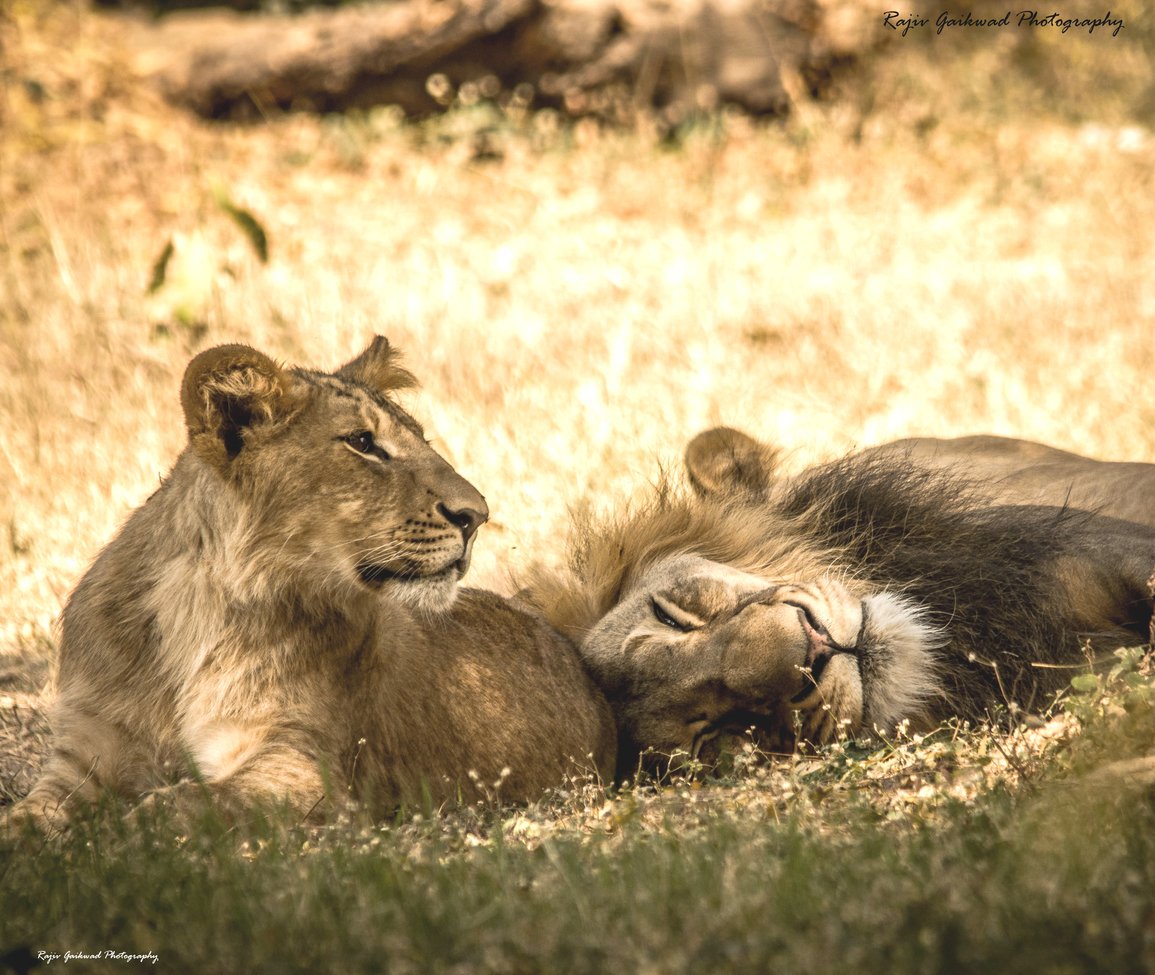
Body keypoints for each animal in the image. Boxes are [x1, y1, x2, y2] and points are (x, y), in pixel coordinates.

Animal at [11, 337, 615, 828]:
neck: (198, 607)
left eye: (421, 439)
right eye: (362, 443)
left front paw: (123, 826)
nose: (478, 515)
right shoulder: (85, 751)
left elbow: (186, 802)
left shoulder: (306, 769)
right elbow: (30, 814)